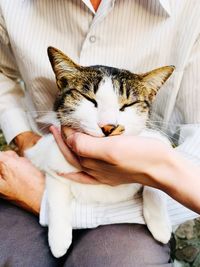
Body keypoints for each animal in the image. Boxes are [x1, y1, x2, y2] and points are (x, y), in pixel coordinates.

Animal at [25, 47, 174, 258]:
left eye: (127, 105)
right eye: (89, 99)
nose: (108, 126)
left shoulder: (156, 142)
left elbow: (155, 182)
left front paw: (160, 225)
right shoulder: (52, 156)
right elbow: (56, 196)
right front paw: (59, 239)